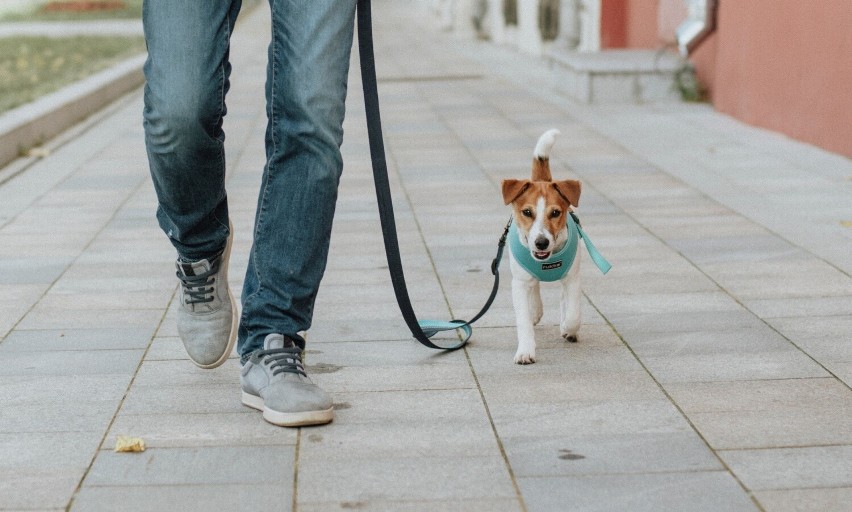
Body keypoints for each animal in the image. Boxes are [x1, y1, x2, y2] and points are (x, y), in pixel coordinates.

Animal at [502, 130, 584, 366]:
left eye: (555, 213)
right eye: (527, 212)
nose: (541, 243)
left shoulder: (572, 278)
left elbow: (573, 313)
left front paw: (567, 328)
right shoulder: (519, 283)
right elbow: (523, 321)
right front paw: (525, 351)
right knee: (535, 287)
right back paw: (535, 311)